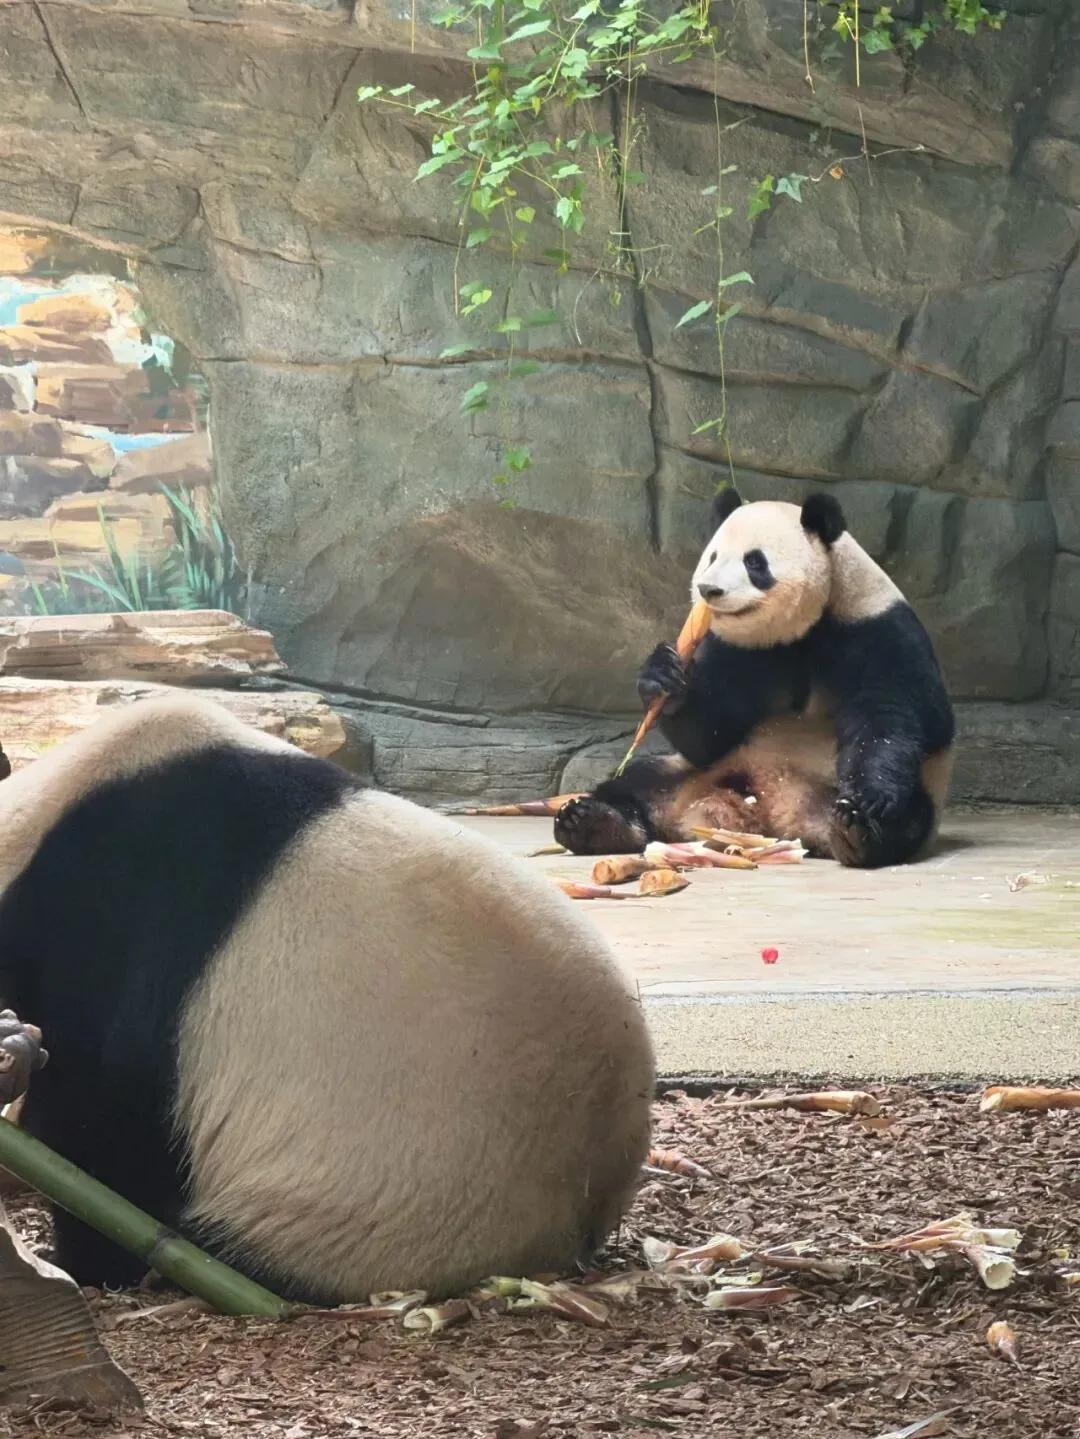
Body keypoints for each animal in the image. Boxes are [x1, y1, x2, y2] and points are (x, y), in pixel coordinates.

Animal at [555, 489, 955, 869]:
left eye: (754, 562)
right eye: (713, 556)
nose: (708, 590)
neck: (802, 629)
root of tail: (770, 816)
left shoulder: (877, 631)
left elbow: (888, 716)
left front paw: (867, 799)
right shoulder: (737, 649)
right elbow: (710, 733)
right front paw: (663, 676)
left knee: (910, 817)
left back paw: (859, 830)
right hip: (692, 772)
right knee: (636, 782)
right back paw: (591, 821)